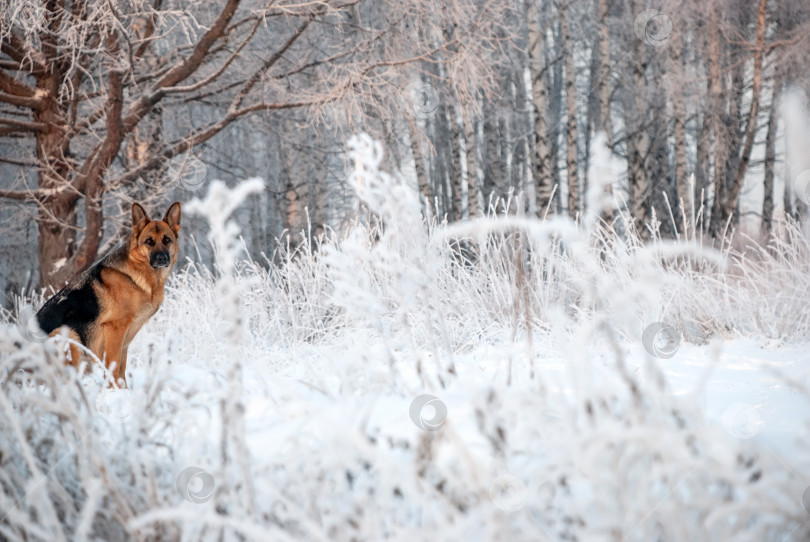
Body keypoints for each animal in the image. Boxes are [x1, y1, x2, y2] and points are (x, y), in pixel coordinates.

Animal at [36, 203, 180, 386]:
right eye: (149, 241)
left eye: (167, 240)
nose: (162, 258)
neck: (137, 275)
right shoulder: (115, 328)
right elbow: (114, 365)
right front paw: (114, 390)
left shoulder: (126, 336)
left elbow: (122, 368)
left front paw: (124, 390)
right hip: (68, 338)